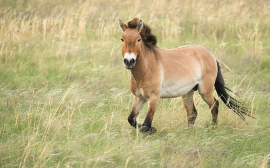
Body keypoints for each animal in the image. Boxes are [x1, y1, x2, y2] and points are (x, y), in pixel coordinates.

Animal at [119, 17, 252, 133]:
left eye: (138, 39)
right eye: (122, 39)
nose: (129, 61)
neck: (146, 69)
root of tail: (212, 56)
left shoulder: (153, 98)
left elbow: (147, 122)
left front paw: (151, 130)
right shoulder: (139, 97)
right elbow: (131, 119)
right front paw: (147, 128)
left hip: (205, 91)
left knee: (214, 105)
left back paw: (213, 128)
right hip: (188, 93)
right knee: (192, 113)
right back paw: (189, 132)